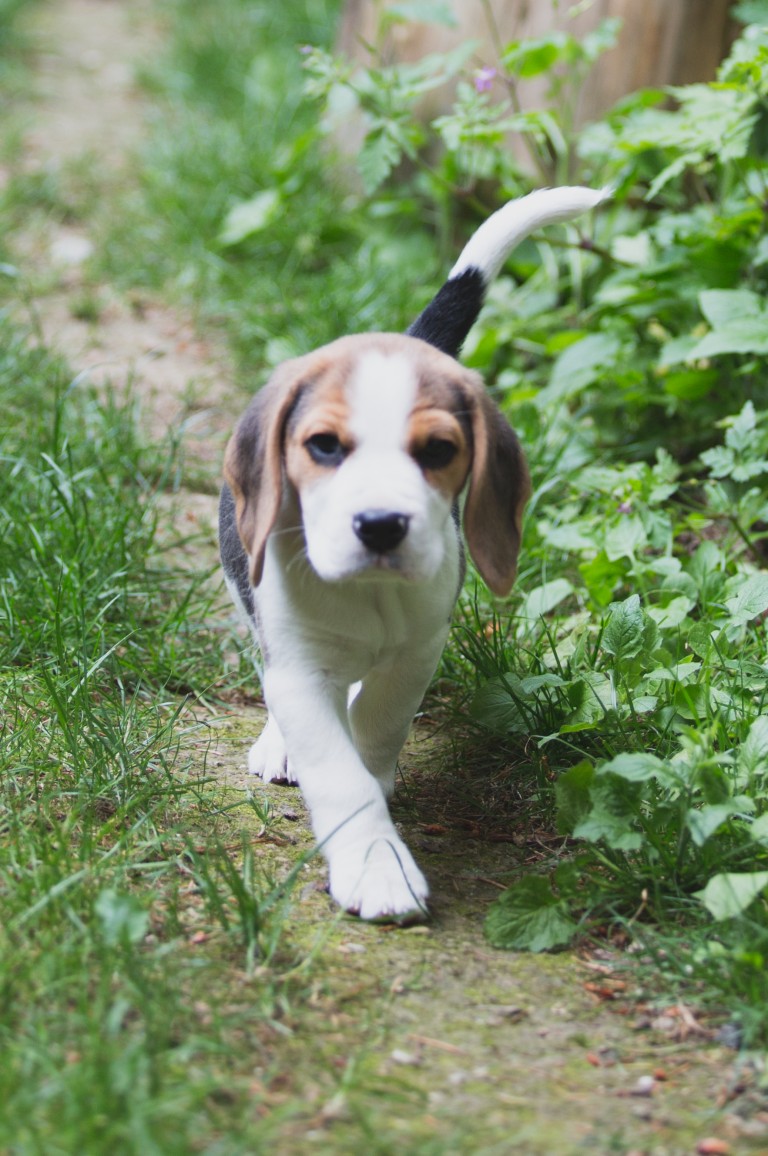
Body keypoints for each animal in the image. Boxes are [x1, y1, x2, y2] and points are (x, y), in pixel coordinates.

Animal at [216, 184, 606, 920]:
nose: (380, 525)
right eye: (323, 446)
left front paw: (377, 804)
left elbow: (376, 725)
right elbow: (336, 766)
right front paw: (375, 865)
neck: (370, 591)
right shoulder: (298, 665)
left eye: (439, 450)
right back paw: (279, 743)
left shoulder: (419, 649)